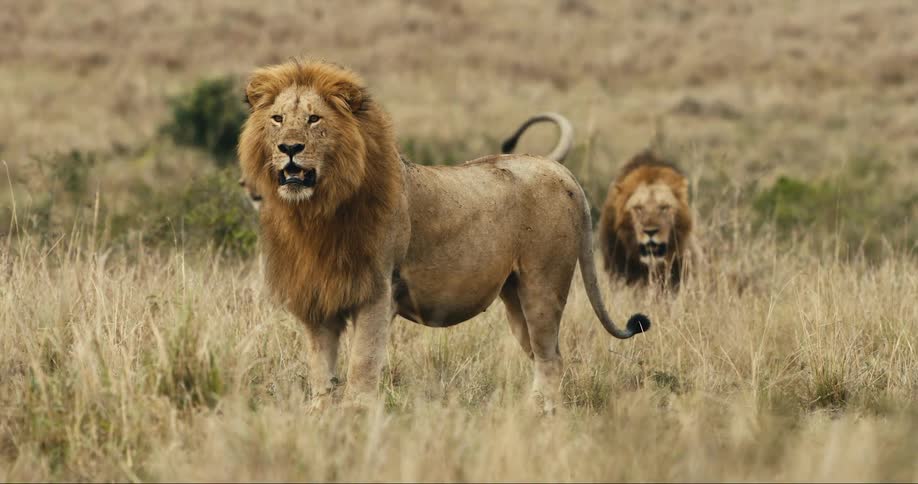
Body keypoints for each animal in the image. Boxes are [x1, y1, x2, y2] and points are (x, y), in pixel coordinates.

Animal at [238, 60, 650, 412]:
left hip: (544, 285)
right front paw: (320, 416)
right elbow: (322, 370)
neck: (314, 213)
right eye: (277, 119)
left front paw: (357, 416)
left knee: (552, 358)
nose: (290, 148)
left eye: (314, 119)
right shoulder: (317, 295)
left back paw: (542, 416)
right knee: (542, 355)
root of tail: (557, 168)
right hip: (515, 297)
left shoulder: (378, 291)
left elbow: (362, 365)